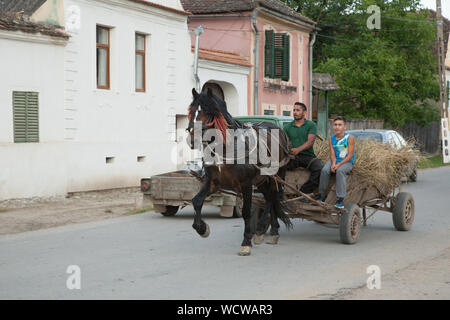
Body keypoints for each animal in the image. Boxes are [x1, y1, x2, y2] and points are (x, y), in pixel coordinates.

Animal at [185, 87, 292, 255]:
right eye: (191, 111)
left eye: (208, 111)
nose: (192, 140)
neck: (225, 148)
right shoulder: (212, 182)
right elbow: (196, 201)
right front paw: (202, 228)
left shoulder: (246, 184)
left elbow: (246, 211)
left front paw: (246, 241)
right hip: (262, 180)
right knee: (270, 198)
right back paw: (271, 231)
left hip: (277, 176)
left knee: (273, 197)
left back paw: (261, 229)